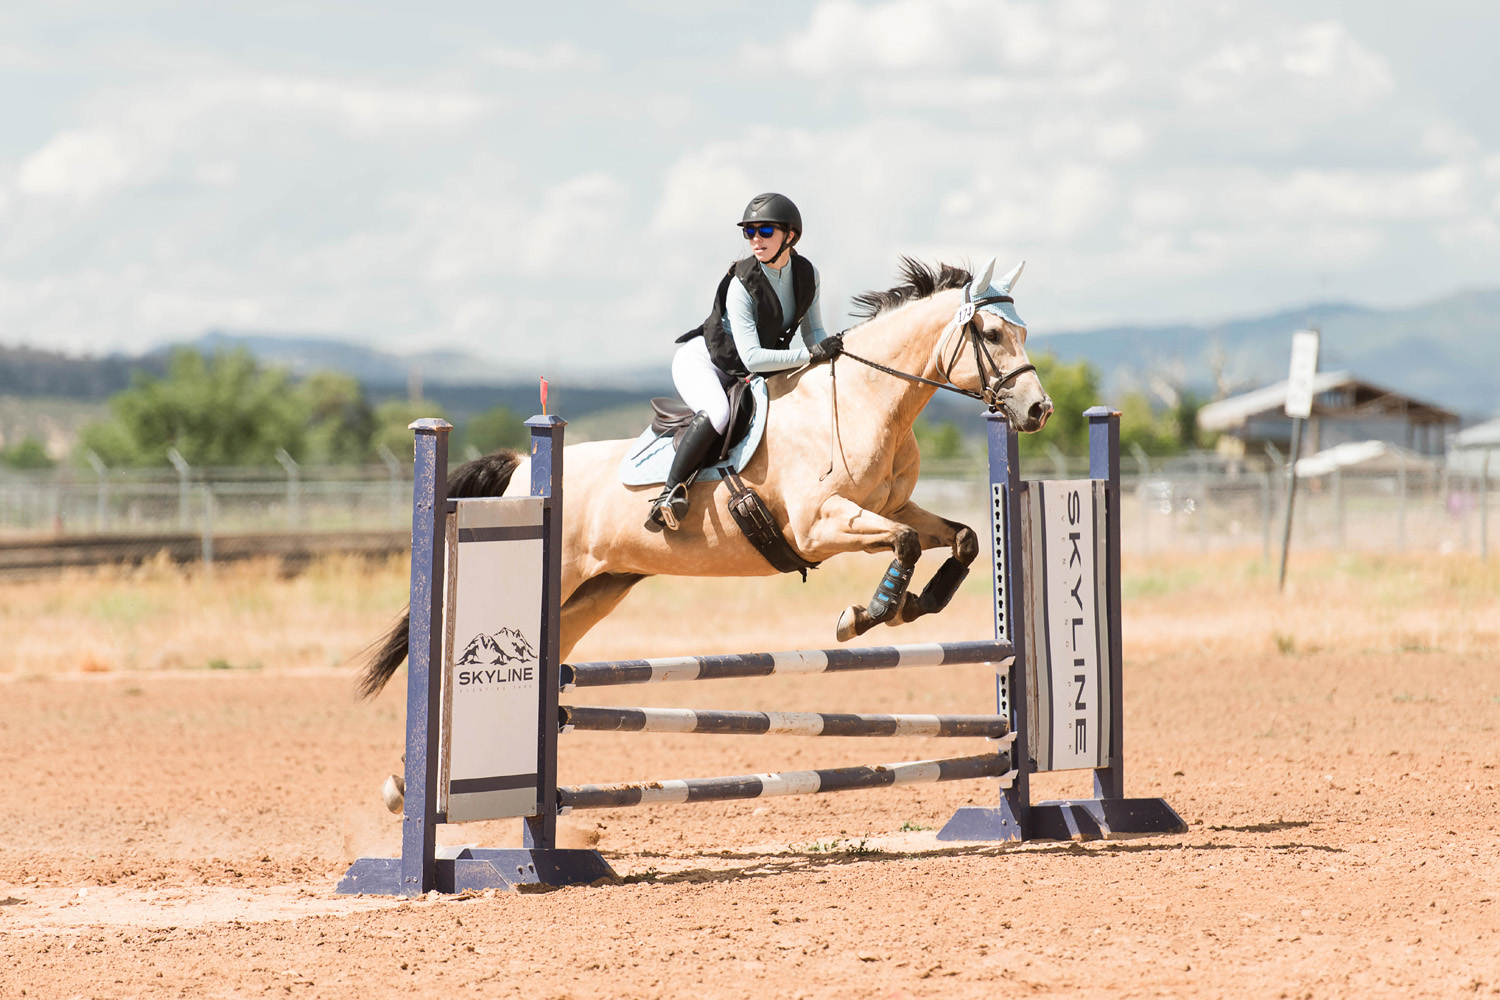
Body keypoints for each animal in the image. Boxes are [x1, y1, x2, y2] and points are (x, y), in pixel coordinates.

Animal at [358, 256, 1051, 699]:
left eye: (1022, 329)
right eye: (992, 332)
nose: (1037, 410)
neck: (860, 400)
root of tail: (524, 466)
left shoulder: (893, 507)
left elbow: (961, 537)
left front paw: (915, 605)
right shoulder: (819, 527)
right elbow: (904, 544)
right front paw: (864, 615)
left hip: (597, 590)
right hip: (563, 579)